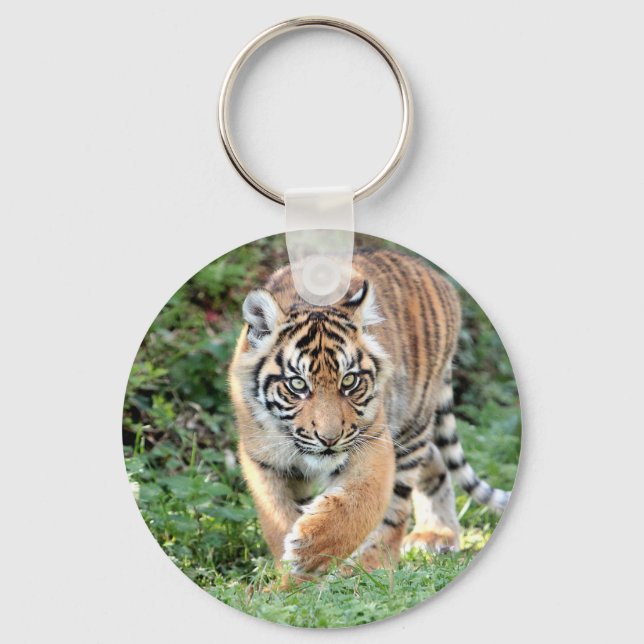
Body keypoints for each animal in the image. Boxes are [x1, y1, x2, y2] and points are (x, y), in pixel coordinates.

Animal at [228, 248, 510, 575]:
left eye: (349, 381)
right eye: (297, 384)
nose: (329, 439)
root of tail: (435, 275)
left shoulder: (375, 445)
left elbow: (357, 505)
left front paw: (309, 552)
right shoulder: (263, 459)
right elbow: (277, 517)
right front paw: (290, 573)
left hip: (412, 426)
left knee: (395, 510)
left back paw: (371, 567)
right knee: (436, 462)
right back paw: (437, 535)